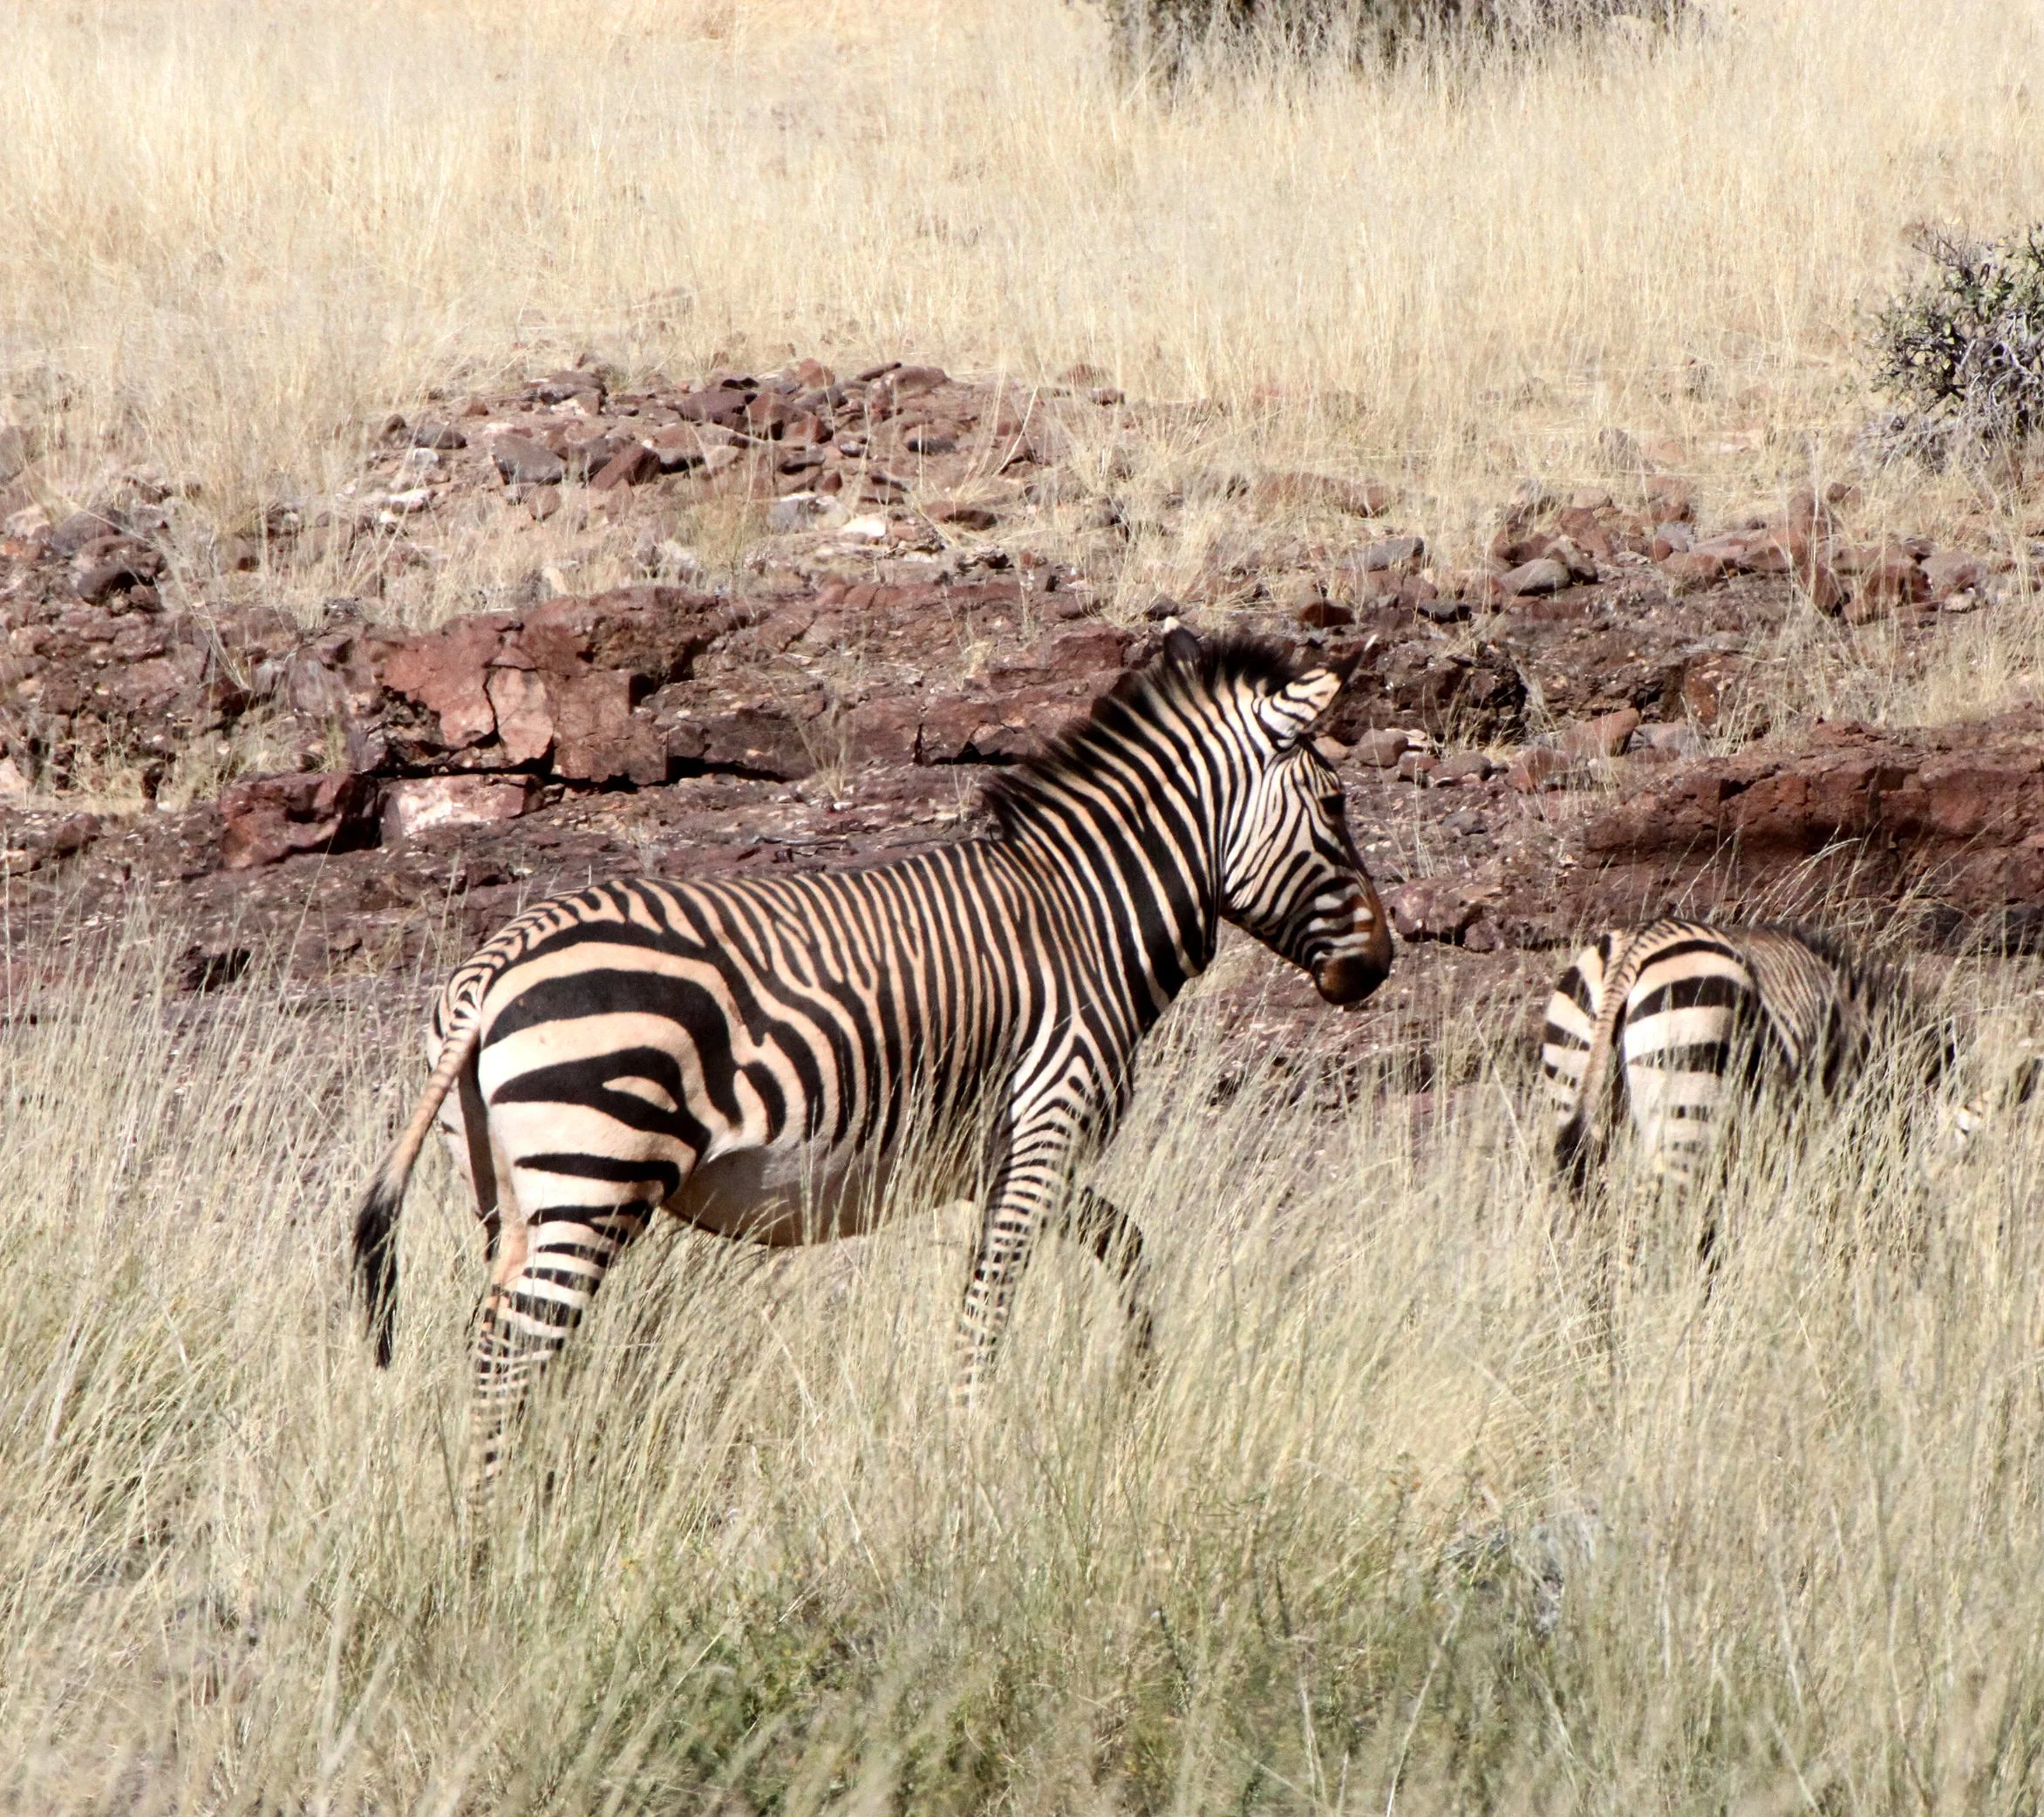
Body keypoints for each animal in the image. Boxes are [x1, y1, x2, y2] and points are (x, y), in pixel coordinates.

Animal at [353, 629, 1393, 1506]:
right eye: (1336, 805)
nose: (1378, 966)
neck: (1085, 916)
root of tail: (494, 969)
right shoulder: (1046, 1120)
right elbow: (990, 1303)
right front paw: (971, 1440)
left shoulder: (1000, 1158)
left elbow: (1126, 1250)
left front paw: (1136, 1378)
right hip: (593, 1171)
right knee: (512, 1344)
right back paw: (498, 1524)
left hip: (507, 1191)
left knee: (493, 1333)